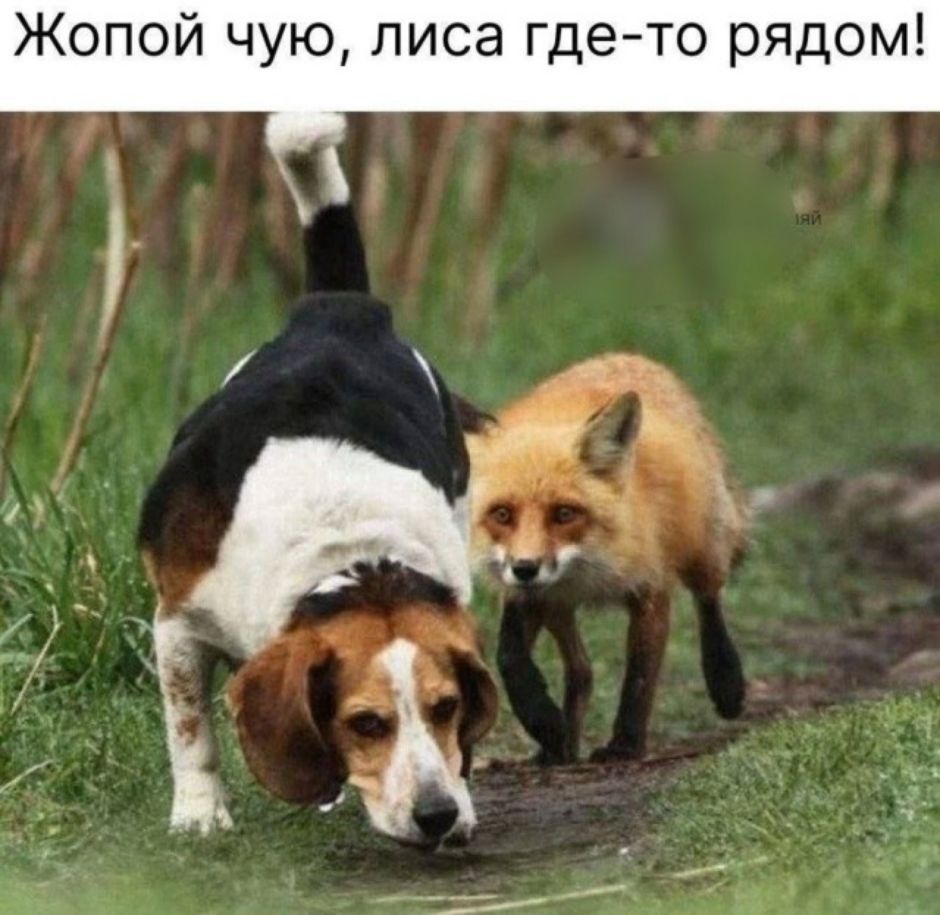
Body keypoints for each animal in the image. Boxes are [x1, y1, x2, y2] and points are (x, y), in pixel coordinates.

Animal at [466, 353, 748, 764]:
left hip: (702, 547)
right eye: (502, 514)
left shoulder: (650, 589)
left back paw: (726, 680)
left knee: (709, 601)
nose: (525, 568)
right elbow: (509, 657)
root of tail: (630, 356)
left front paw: (625, 744)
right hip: (557, 609)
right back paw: (560, 747)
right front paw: (544, 722)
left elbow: (640, 675)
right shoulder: (529, 596)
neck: (587, 569)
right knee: (582, 671)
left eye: (565, 513)